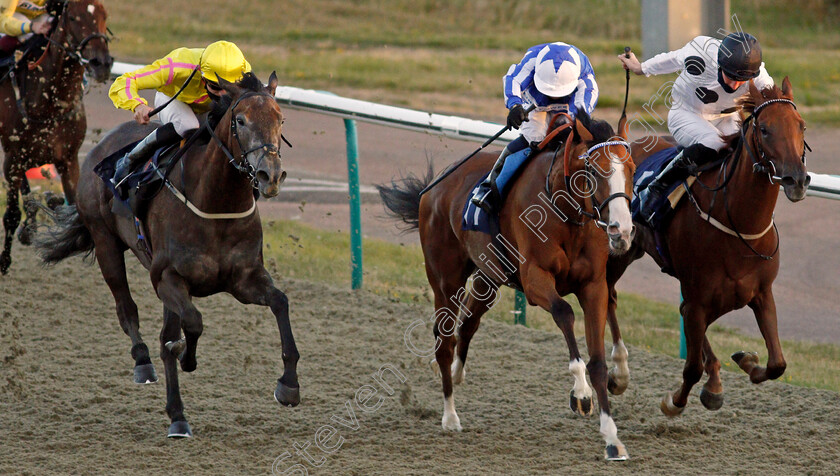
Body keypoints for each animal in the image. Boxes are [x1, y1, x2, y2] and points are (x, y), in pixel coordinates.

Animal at [0, 0, 113, 276]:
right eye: (72, 18)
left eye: (104, 15)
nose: (101, 62)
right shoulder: (13, 158)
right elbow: (10, 215)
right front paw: (4, 261)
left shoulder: (69, 160)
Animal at [36, 71, 298, 438]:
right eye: (241, 120)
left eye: (280, 119)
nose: (270, 175)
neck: (215, 203)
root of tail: (99, 148)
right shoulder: (167, 278)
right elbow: (192, 325)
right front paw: (186, 358)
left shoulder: (245, 279)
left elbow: (280, 302)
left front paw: (289, 385)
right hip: (105, 243)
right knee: (127, 309)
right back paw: (144, 364)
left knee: (164, 333)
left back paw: (177, 415)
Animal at [380, 112, 636, 462]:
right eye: (595, 171)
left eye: (632, 169)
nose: (621, 231)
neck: (566, 211)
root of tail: (436, 186)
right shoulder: (534, 279)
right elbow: (564, 312)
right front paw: (581, 392)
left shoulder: (593, 286)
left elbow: (598, 362)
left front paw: (612, 439)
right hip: (445, 279)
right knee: (445, 340)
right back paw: (449, 416)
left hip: (488, 277)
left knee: (468, 322)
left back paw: (457, 374)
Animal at [608, 78, 812, 416]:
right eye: (765, 129)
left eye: (801, 126)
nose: (796, 179)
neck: (740, 224)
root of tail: (625, 143)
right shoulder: (700, 298)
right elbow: (691, 368)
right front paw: (673, 402)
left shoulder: (759, 291)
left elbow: (777, 364)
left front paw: (745, 361)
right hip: (618, 251)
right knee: (607, 296)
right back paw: (619, 373)